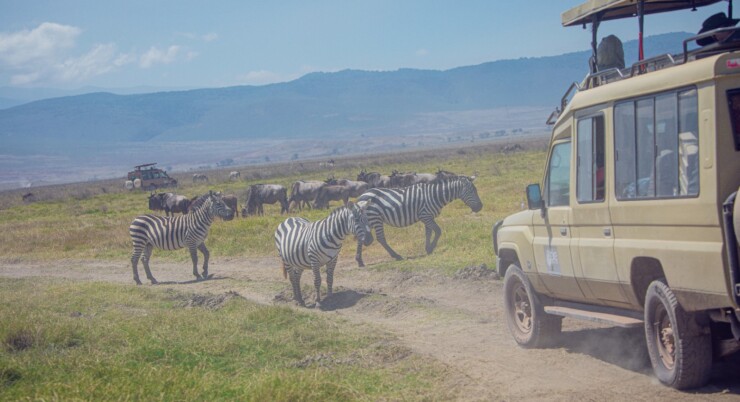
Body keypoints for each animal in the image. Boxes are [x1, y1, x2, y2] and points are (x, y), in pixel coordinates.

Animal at [354, 176, 482, 266]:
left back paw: (359, 261)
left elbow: (428, 233)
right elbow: (438, 231)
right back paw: (396, 256)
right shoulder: (425, 215)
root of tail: (361, 196)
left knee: (361, 237)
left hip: (369, 219)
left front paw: (428, 248)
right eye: (472, 191)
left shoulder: (427, 217)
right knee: (380, 238)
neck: (436, 196)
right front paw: (431, 248)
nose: (480, 207)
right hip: (375, 218)